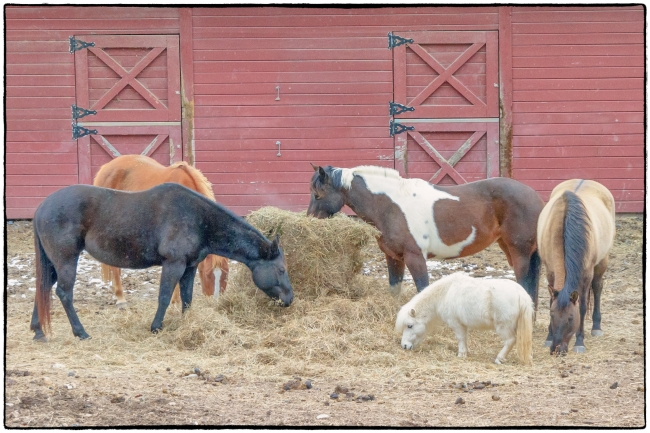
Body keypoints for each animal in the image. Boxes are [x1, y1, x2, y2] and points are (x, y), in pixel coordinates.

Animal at [31, 183, 294, 341]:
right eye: (281, 269)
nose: (290, 299)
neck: (198, 219)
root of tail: (42, 207)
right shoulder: (173, 264)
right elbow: (165, 296)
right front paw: (156, 326)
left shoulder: (189, 267)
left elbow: (187, 297)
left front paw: (188, 323)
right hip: (66, 260)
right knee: (63, 293)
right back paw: (80, 332)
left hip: (53, 264)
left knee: (43, 288)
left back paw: (38, 331)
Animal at [93, 154, 229, 306]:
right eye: (207, 274)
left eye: (226, 274)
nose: (216, 303)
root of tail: (106, 168)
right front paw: (174, 302)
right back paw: (120, 297)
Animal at [307, 164, 544, 307]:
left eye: (318, 195)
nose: (309, 220)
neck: (391, 206)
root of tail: (535, 197)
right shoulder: (393, 257)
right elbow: (394, 289)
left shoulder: (415, 257)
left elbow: (422, 289)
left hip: (520, 253)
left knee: (526, 285)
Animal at [395, 272, 534, 365]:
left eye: (410, 325)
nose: (404, 346)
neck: (446, 292)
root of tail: (520, 293)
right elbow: (465, 339)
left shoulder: (456, 324)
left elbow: (460, 338)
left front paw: (461, 354)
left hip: (503, 326)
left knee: (510, 340)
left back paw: (499, 358)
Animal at [537, 179, 615, 354]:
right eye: (552, 315)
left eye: (571, 318)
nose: (556, 349)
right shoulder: (550, 272)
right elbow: (551, 299)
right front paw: (548, 337)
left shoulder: (586, 275)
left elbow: (583, 307)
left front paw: (579, 342)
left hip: (602, 262)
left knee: (597, 287)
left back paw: (596, 327)